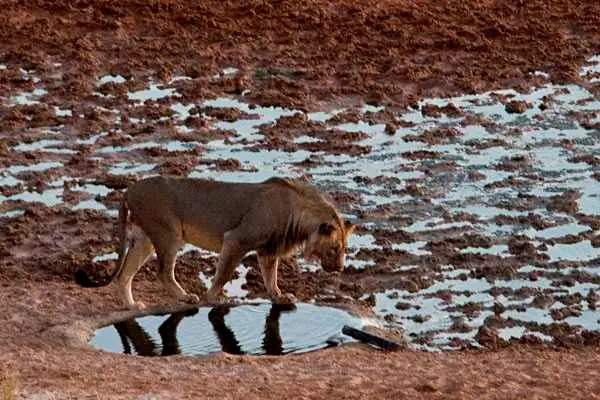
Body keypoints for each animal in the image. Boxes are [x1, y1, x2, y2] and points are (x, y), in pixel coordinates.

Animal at [75, 177, 356, 310]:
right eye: (334, 249)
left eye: (344, 250)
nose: (340, 269)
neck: (299, 214)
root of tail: (129, 189)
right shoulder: (236, 239)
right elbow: (223, 274)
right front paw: (212, 299)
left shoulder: (267, 250)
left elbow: (271, 276)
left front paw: (279, 297)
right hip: (169, 233)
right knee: (163, 272)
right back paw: (187, 296)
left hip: (143, 239)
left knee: (124, 275)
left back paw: (132, 305)